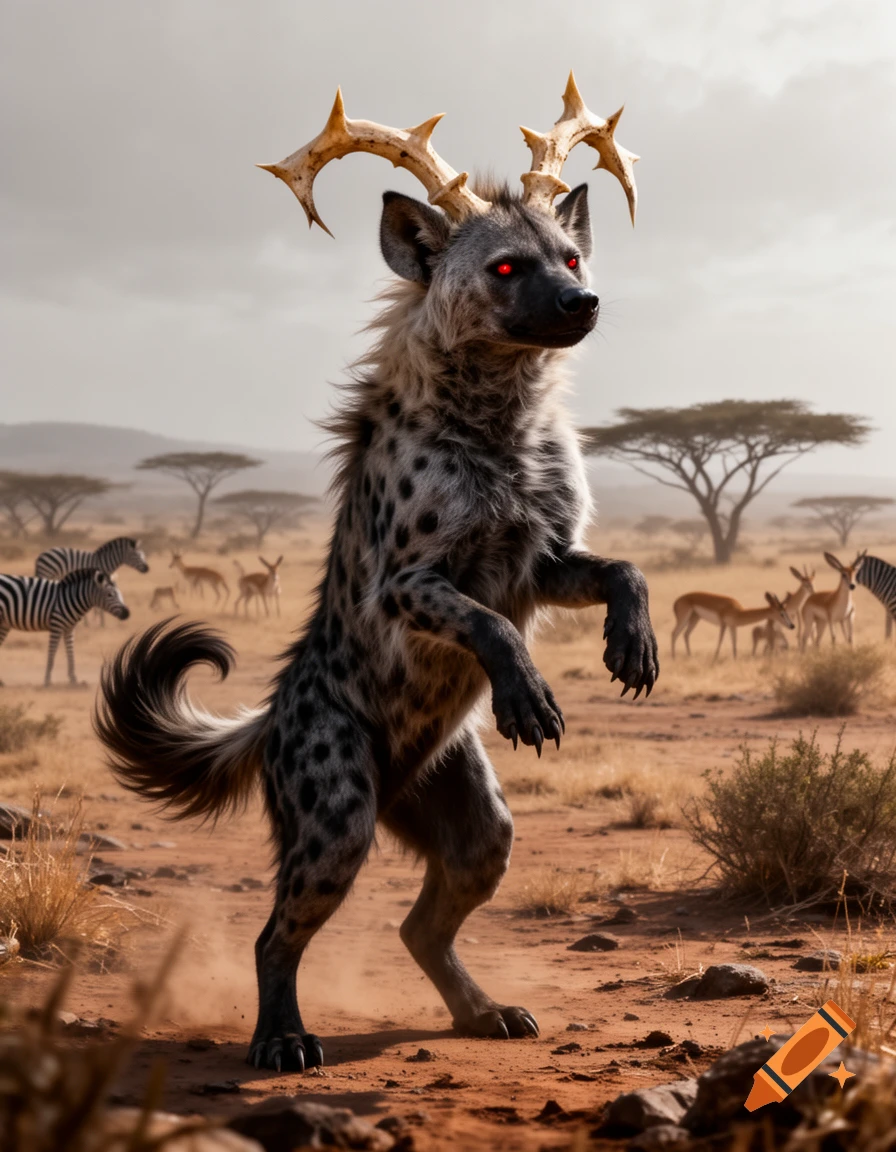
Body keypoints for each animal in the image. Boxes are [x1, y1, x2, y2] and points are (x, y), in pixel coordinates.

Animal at [0, 569, 130, 687]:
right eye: (109, 594)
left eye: (119, 593)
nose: (127, 613)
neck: (70, 598)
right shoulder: (56, 625)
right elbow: (52, 653)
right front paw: (48, 680)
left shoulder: (69, 628)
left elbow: (70, 653)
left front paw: (73, 679)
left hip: (4, 624)